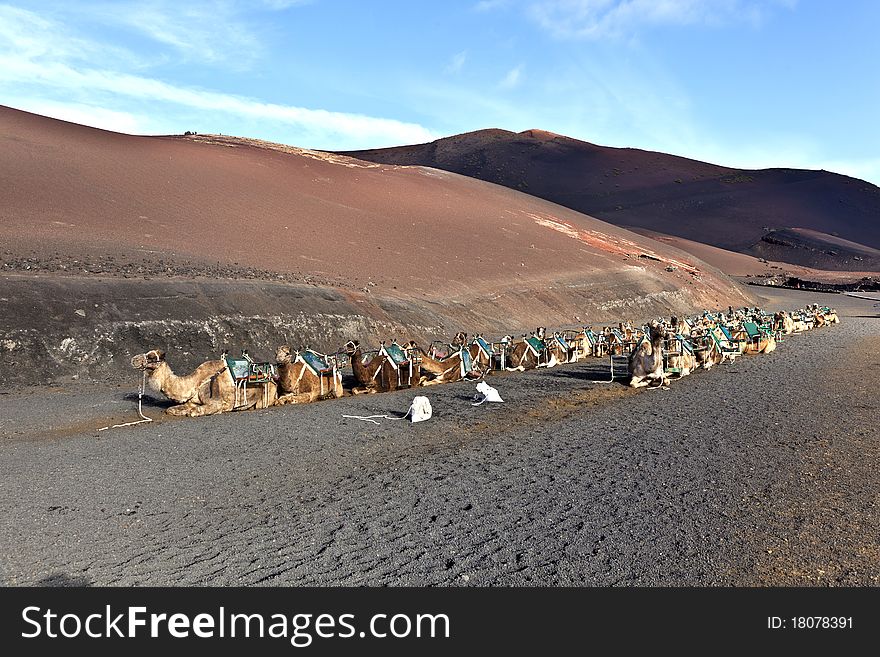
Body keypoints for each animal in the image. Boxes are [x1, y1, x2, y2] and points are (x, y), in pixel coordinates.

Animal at [128, 348, 276, 416]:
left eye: (152, 357)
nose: (134, 360)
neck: (195, 383)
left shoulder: (214, 399)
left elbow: (195, 411)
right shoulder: (191, 402)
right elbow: (170, 410)